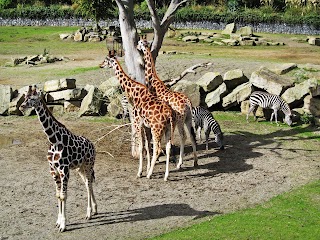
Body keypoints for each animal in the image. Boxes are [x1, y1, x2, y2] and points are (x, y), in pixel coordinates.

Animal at [19, 85, 97, 232]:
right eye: (25, 97)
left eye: (33, 98)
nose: (21, 106)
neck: (53, 140)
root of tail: (92, 145)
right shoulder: (53, 171)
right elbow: (58, 195)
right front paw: (58, 222)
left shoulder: (64, 170)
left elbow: (63, 196)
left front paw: (63, 225)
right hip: (80, 168)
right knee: (86, 184)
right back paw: (95, 210)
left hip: (89, 165)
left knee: (89, 184)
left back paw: (89, 213)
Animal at [100, 51, 175, 182]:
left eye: (105, 60)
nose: (100, 65)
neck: (135, 93)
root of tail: (169, 114)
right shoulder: (145, 126)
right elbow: (147, 146)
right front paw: (146, 169)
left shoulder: (137, 123)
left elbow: (141, 147)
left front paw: (140, 172)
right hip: (168, 129)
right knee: (168, 148)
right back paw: (165, 176)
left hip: (157, 129)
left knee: (158, 149)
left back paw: (149, 175)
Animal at [137, 39, 199, 169]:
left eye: (140, 42)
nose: (137, 47)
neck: (153, 80)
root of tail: (188, 103)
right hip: (188, 118)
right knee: (192, 135)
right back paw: (195, 161)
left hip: (180, 119)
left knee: (183, 136)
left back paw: (179, 163)